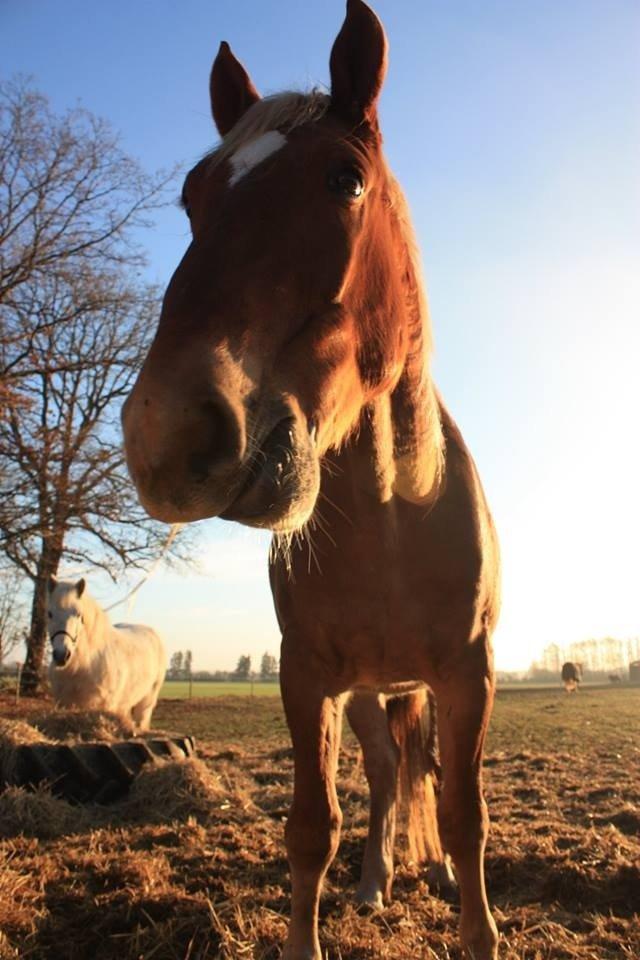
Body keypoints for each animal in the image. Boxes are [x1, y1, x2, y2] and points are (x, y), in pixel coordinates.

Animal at [120, 3, 500, 956]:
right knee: (387, 770)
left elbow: (464, 816)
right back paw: (374, 881)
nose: (167, 433)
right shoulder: (306, 679)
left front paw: (473, 915)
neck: (398, 516)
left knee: (419, 771)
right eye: (194, 195)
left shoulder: (469, 677)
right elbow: (312, 827)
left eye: (344, 178)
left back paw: (426, 874)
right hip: (367, 694)